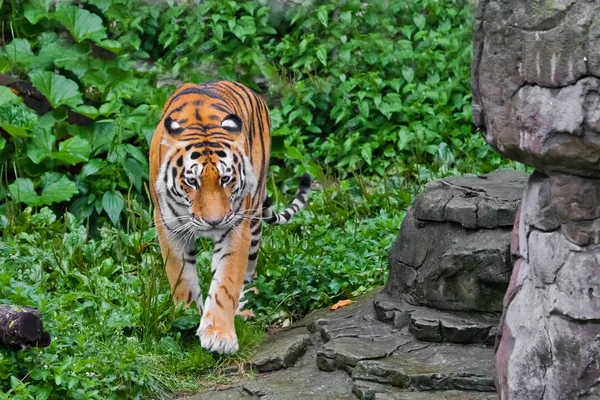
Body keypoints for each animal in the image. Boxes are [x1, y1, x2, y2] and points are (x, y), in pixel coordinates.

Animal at [149, 80, 312, 354]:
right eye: (192, 181)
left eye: (226, 178)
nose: (214, 221)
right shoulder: (169, 227)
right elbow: (181, 279)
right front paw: (188, 317)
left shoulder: (235, 227)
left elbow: (225, 283)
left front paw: (219, 335)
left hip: (254, 218)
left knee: (249, 274)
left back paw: (245, 310)